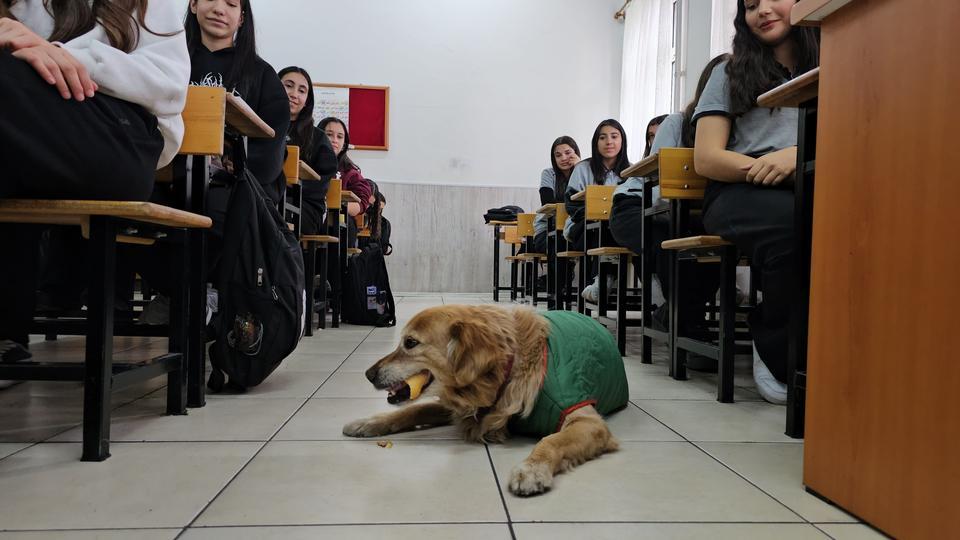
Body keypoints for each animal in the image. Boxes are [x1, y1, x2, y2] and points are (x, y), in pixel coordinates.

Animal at [344, 304, 632, 494]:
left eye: (411, 342)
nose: (369, 374)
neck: (504, 372)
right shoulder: (461, 406)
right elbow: (412, 411)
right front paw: (368, 422)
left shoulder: (587, 419)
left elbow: (552, 440)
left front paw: (532, 469)